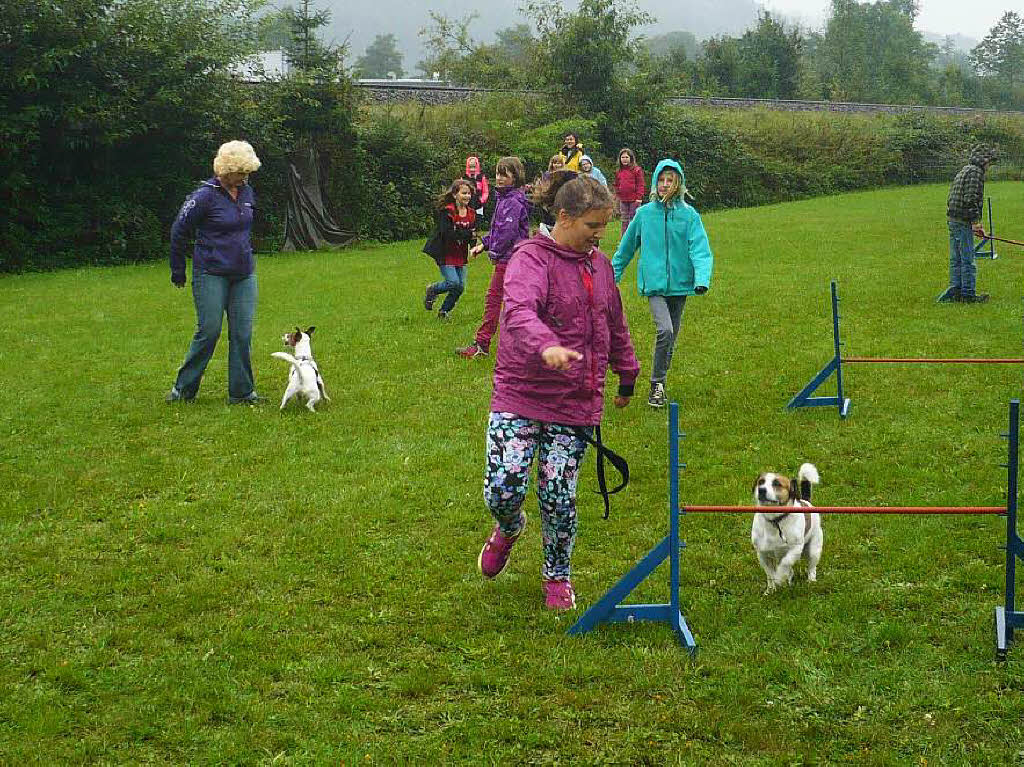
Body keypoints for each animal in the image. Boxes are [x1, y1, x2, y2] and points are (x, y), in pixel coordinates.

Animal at [753, 460, 823, 593]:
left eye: (777, 484)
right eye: (761, 482)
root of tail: (806, 501)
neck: (775, 521)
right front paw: (770, 590)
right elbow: (770, 574)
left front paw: (780, 577)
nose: (761, 490)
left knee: (811, 567)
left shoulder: (795, 548)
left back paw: (811, 581)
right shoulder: (762, 553)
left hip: (814, 548)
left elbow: (785, 563)